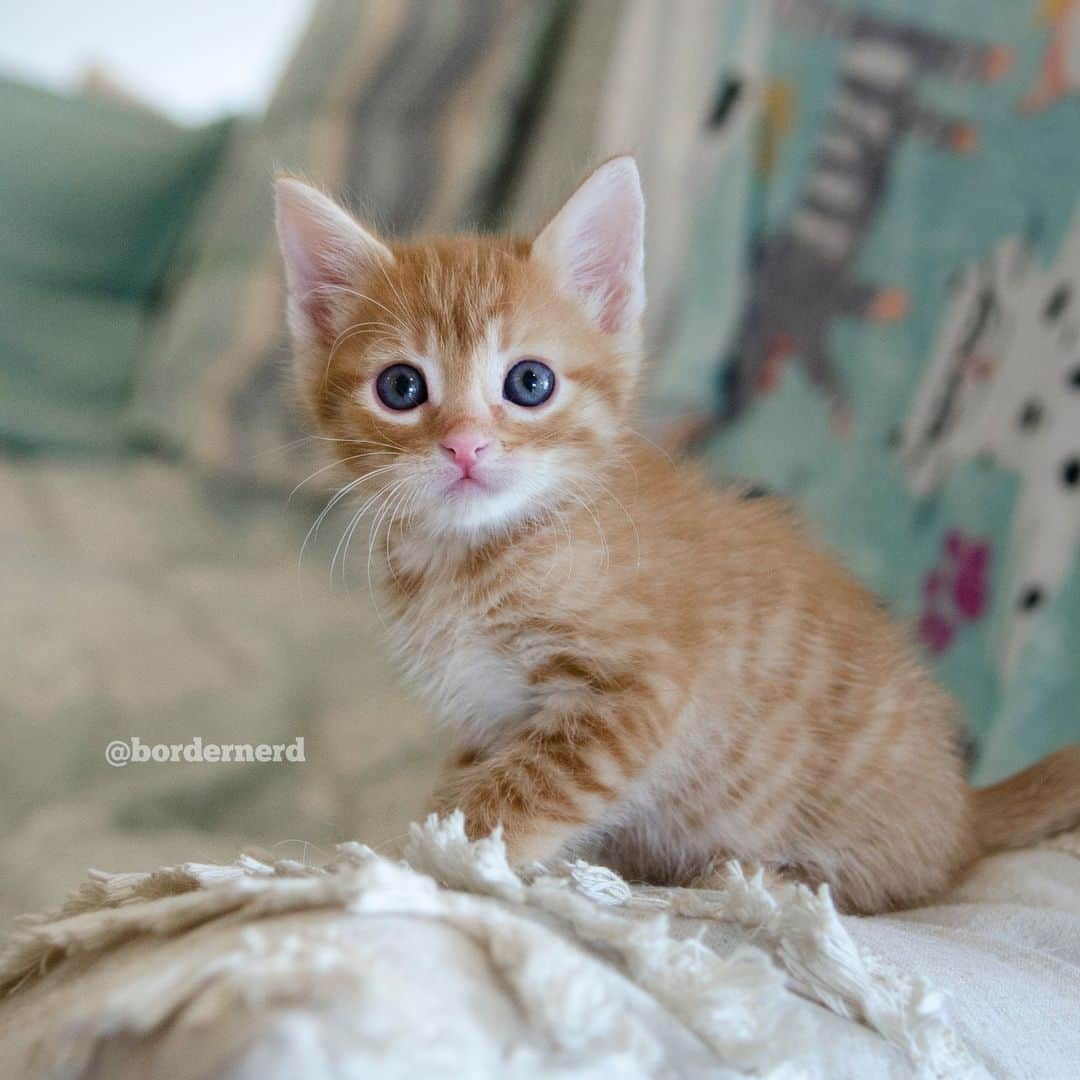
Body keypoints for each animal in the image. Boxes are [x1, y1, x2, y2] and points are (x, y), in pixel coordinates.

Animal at [276, 157, 1080, 911]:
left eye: (530, 383)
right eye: (402, 388)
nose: (466, 446)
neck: (473, 555)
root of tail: (963, 807)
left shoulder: (640, 691)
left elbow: (521, 790)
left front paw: (424, 857)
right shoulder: (487, 717)